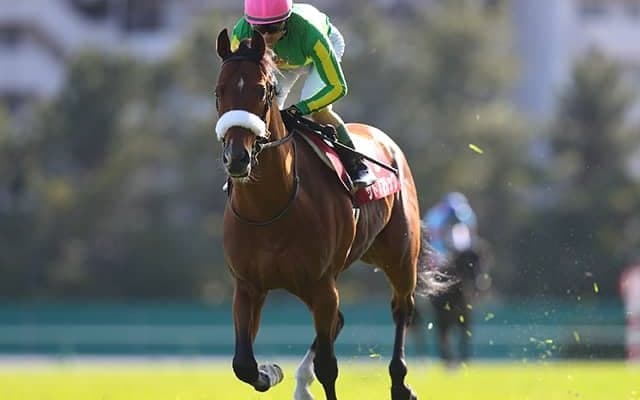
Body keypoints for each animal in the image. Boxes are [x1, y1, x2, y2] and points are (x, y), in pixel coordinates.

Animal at [215, 29, 443, 400]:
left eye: (263, 90)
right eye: (218, 91)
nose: (237, 158)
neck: (271, 208)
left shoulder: (322, 285)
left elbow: (328, 366)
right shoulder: (248, 286)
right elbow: (243, 364)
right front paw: (271, 371)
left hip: (399, 256)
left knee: (402, 309)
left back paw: (399, 382)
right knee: (341, 320)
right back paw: (301, 382)